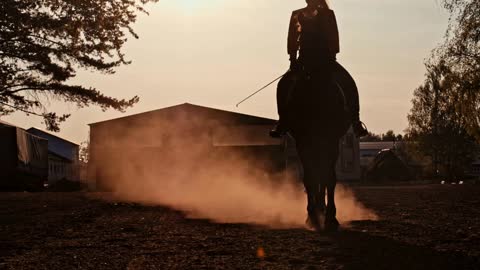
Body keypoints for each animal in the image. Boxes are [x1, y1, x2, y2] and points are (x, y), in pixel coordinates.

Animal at [280, 61, 354, 232]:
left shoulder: (331, 142)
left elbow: (329, 178)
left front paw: (331, 218)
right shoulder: (303, 143)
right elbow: (310, 178)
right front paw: (311, 216)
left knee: (322, 175)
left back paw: (322, 207)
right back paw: (318, 209)